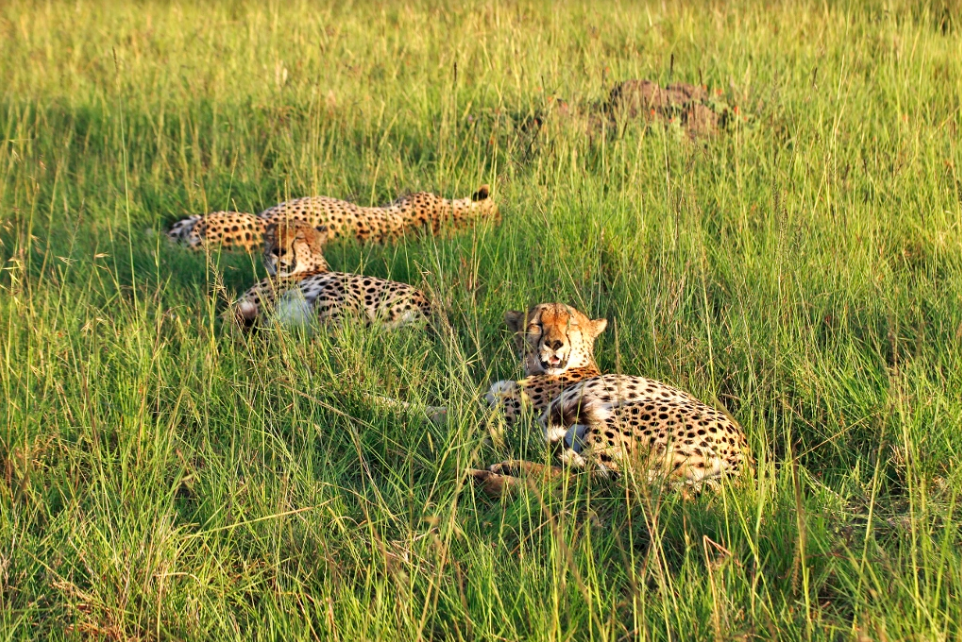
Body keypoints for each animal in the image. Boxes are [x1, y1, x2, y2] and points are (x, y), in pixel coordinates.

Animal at [466, 302, 752, 492]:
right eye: (537, 324)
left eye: (571, 325)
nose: (554, 343)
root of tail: (744, 453)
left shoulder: (506, 420)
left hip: (613, 421)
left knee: (586, 481)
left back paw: (489, 475)